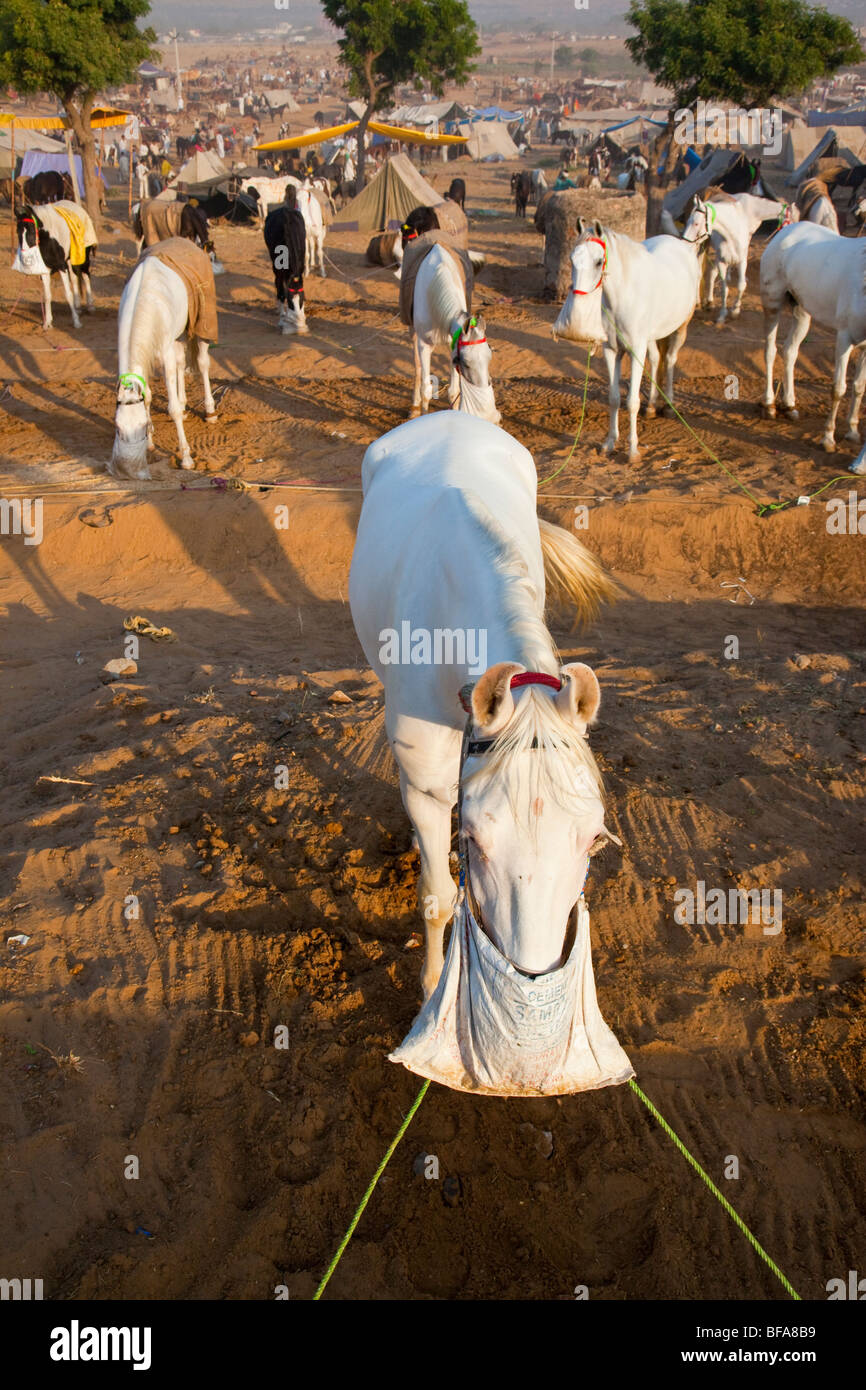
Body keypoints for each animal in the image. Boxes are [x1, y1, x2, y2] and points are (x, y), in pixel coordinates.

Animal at [348, 411, 633, 1095]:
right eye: (475, 839)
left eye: (593, 840)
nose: (531, 979)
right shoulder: (429, 784)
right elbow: (437, 896)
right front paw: (431, 989)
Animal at [408, 241, 497, 419]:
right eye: (466, 364)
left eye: (489, 357)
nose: (487, 411)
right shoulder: (424, 344)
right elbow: (426, 389)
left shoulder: (453, 344)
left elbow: (453, 391)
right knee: (417, 367)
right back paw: (414, 407)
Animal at [686, 191, 795, 321]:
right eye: (794, 219)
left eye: (696, 223)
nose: (685, 239)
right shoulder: (723, 259)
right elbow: (724, 289)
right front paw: (723, 315)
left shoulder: (742, 256)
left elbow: (741, 284)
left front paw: (735, 310)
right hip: (703, 245)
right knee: (700, 272)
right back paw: (699, 302)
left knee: (712, 272)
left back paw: (710, 302)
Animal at [756, 222, 866, 450]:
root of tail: (785, 231)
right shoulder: (844, 338)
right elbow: (838, 388)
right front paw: (828, 438)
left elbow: (859, 386)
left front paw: (852, 432)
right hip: (772, 303)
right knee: (770, 350)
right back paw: (769, 405)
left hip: (802, 310)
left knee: (790, 351)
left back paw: (789, 406)